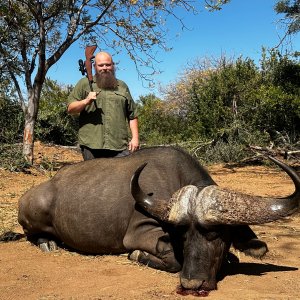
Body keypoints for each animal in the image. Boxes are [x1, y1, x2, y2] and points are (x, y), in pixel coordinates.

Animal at [18, 146, 300, 292]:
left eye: (218, 235)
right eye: (183, 235)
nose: (191, 283)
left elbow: (233, 259)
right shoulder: (141, 233)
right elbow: (172, 259)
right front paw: (137, 255)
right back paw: (48, 243)